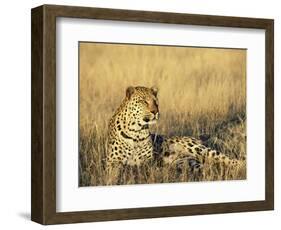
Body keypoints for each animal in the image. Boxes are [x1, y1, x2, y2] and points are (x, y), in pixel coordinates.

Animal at [106, 85, 244, 181]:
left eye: (156, 102)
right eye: (143, 101)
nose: (155, 112)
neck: (137, 131)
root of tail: (195, 138)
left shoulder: (147, 162)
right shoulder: (112, 162)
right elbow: (118, 172)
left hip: (199, 149)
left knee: (226, 159)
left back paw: (242, 165)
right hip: (188, 163)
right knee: (208, 167)